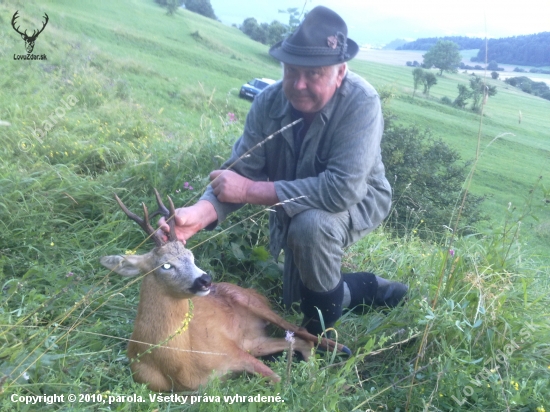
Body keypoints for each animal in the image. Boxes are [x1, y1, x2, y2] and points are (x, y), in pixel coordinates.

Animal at [101, 191, 352, 392]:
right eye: (166, 265)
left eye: (191, 255)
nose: (205, 280)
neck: (180, 365)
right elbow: (280, 379)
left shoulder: (231, 351)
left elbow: (280, 380)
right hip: (255, 341)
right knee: (300, 341)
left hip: (254, 308)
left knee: (301, 331)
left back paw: (340, 353)